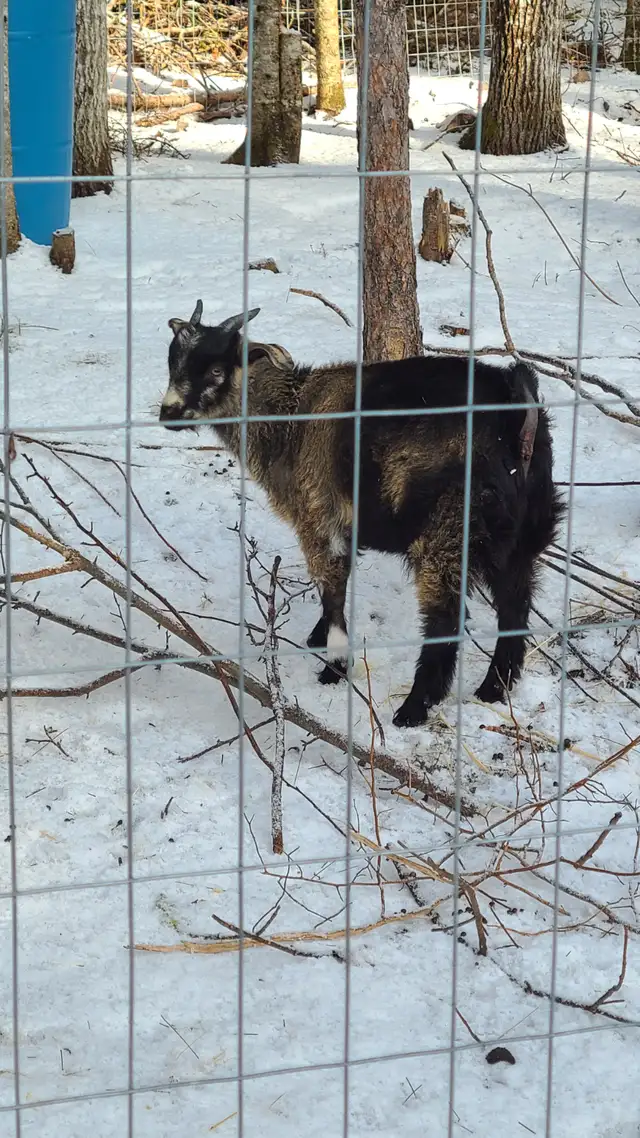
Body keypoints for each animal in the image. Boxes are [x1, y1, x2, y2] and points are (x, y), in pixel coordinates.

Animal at [159, 302, 564, 728]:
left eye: (216, 371)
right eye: (173, 360)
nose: (168, 412)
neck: (288, 421)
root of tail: (517, 410)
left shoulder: (318, 516)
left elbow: (333, 588)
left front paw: (334, 665)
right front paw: (318, 637)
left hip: (450, 528)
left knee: (446, 620)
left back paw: (413, 708)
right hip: (525, 533)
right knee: (515, 607)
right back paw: (493, 688)